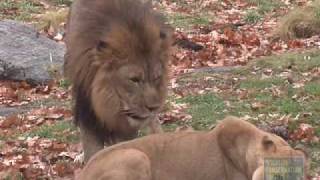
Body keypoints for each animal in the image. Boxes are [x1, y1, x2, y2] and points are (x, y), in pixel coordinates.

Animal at [63, 0, 171, 162]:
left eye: (157, 77)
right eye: (134, 79)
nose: (153, 107)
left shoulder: (126, 128)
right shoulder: (88, 114)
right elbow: (92, 153)